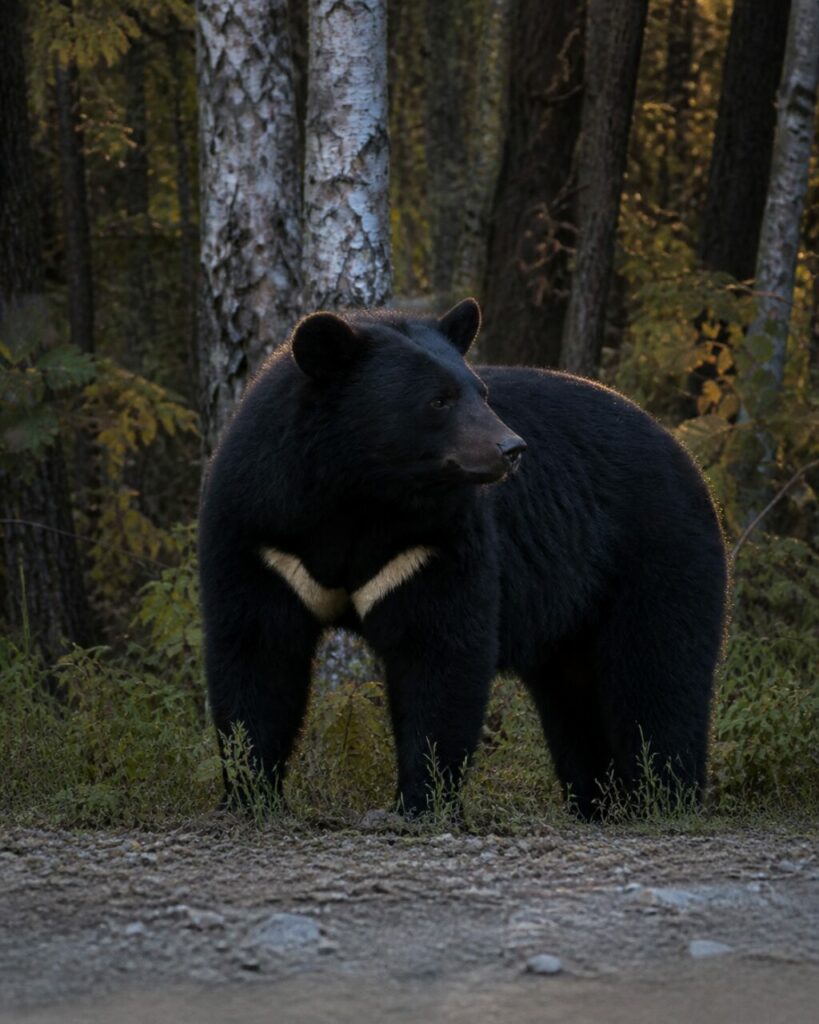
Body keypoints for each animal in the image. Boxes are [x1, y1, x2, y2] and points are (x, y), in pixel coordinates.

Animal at [198, 298, 728, 819]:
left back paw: (663, 797)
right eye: (438, 400)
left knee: (657, 672)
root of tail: (685, 455)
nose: (511, 448)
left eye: (482, 392)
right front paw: (248, 794)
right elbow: (257, 649)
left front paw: (417, 801)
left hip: (656, 551)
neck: (359, 493)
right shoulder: (264, 530)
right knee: (574, 696)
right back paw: (599, 801)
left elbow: (440, 649)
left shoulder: (431, 542)